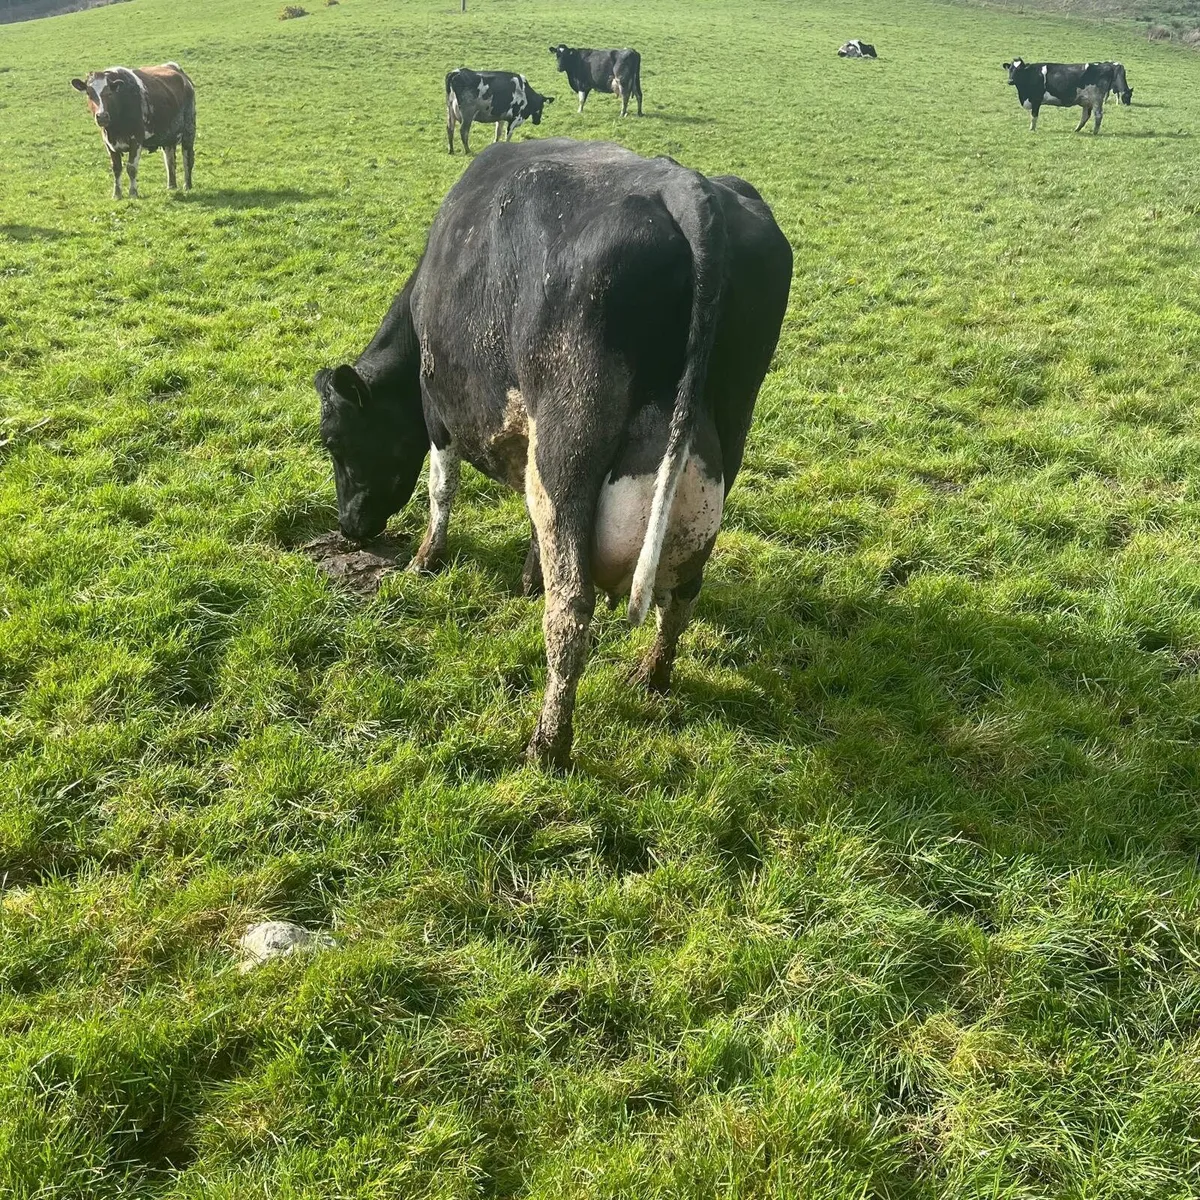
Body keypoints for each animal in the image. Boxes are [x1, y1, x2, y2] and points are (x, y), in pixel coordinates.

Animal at [70, 62, 195, 198]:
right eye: (89, 93)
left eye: (109, 93)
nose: (102, 116)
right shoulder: (108, 143)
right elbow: (116, 168)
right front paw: (117, 194)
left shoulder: (136, 140)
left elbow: (131, 167)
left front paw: (133, 193)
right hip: (168, 137)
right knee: (170, 160)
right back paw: (171, 186)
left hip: (189, 131)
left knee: (187, 158)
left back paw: (187, 186)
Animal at [313, 139, 792, 767]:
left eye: (334, 441)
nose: (348, 527)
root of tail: (687, 185)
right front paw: (526, 574)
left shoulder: (440, 411)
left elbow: (442, 489)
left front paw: (424, 559)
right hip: (727, 428)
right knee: (684, 590)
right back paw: (652, 675)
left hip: (569, 444)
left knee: (571, 611)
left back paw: (548, 743)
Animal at [1003, 58, 1132, 133]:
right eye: (1010, 69)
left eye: (1019, 70)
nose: (1010, 81)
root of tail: (1104, 66)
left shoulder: (1036, 100)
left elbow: (1034, 116)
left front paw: (1032, 129)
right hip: (1087, 100)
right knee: (1086, 115)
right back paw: (1077, 129)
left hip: (1096, 98)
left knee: (1098, 115)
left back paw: (1095, 132)